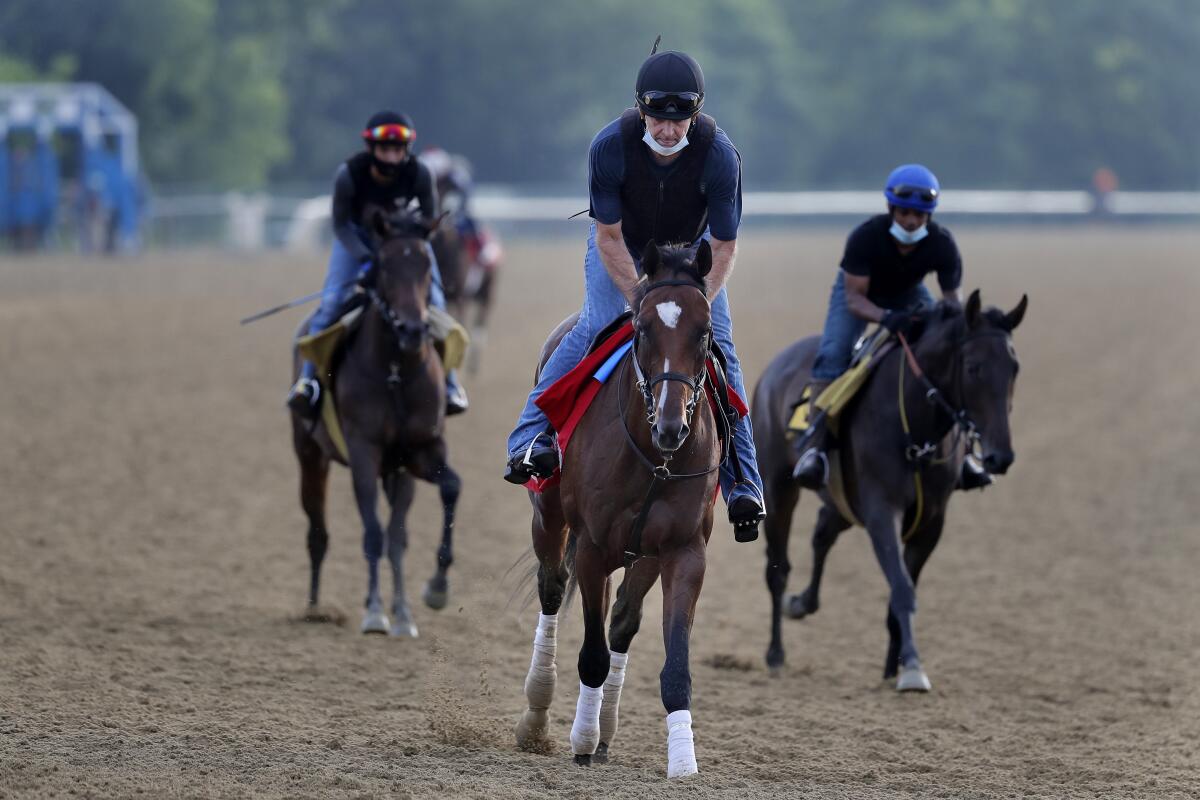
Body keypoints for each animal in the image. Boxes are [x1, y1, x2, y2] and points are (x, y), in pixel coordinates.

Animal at [753, 291, 1027, 690]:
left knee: (822, 532)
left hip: (842, 502)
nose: (1000, 456)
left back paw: (802, 602)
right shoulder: (882, 510)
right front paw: (912, 666)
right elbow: (901, 587)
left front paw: (892, 666)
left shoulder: (930, 522)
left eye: (1014, 367)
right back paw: (775, 652)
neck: (915, 430)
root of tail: (774, 368)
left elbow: (901, 589)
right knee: (777, 569)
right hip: (777, 487)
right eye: (974, 367)